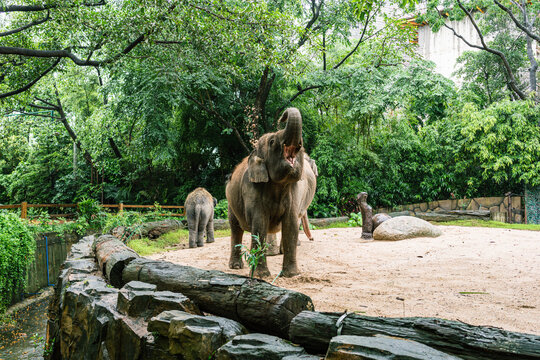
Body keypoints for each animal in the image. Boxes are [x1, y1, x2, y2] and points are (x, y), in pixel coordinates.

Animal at [225, 107, 316, 278]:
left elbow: (290, 225)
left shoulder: (294, 191)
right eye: (272, 142)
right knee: (235, 228)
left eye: (301, 144)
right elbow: (259, 223)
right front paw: (261, 276)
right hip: (230, 203)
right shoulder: (251, 188)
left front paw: (292, 275)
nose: (282, 117)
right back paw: (236, 267)